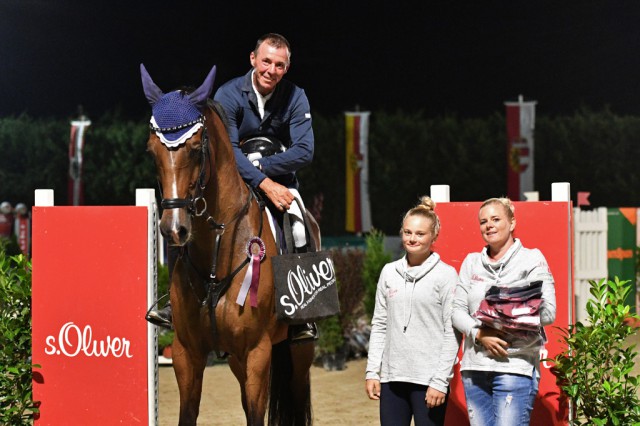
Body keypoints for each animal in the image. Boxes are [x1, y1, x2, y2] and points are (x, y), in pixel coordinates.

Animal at [142, 64, 318, 426]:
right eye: (151, 151)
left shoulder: (256, 353)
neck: (218, 249)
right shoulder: (187, 354)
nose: (174, 229)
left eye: (197, 147)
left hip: (298, 351)